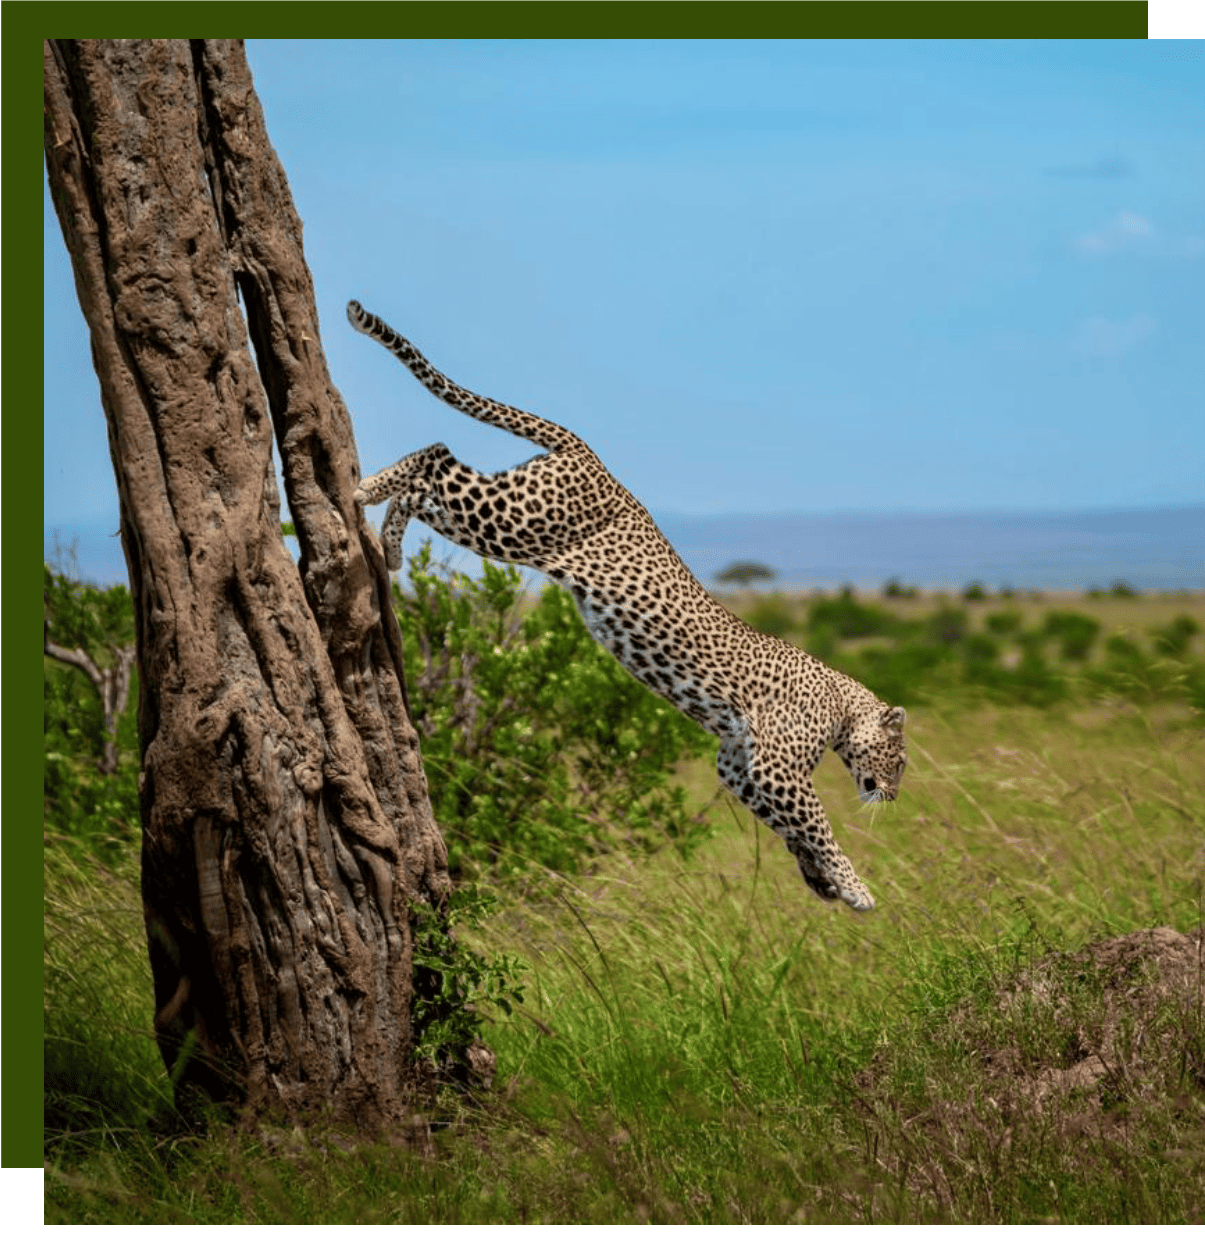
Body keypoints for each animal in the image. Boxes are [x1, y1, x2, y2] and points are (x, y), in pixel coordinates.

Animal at [347, 300, 907, 911]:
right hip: (512, 521)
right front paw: (856, 887)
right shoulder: (776, 766)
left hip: (501, 519)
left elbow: (791, 829)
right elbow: (820, 824)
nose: (894, 795)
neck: (843, 706)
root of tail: (589, 454)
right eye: (899, 760)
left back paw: (387, 539)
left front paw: (821, 881)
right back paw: (368, 491)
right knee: (435, 458)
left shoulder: (738, 764)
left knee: (433, 477)